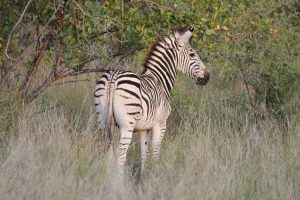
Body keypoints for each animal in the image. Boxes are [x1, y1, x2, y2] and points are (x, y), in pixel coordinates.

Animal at [95, 27, 210, 175]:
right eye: (192, 55)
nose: (207, 77)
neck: (160, 80)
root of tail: (113, 76)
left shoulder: (144, 128)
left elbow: (145, 153)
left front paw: (144, 176)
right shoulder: (160, 124)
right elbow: (155, 152)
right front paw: (155, 175)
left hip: (102, 120)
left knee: (107, 150)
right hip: (127, 124)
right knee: (121, 153)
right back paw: (120, 180)